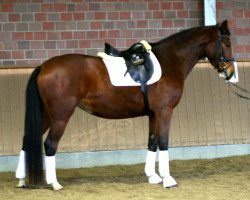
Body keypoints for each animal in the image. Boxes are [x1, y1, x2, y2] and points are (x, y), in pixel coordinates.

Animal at [15, 20, 234, 191]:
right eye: (227, 42)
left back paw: (21, 180)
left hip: (46, 115)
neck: (169, 61)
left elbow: (152, 142)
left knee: (27, 139)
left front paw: (153, 176)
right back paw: (54, 183)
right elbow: (163, 142)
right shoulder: (165, 112)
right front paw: (167, 179)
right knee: (50, 144)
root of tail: (44, 66)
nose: (230, 71)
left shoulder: (153, 114)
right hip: (61, 116)